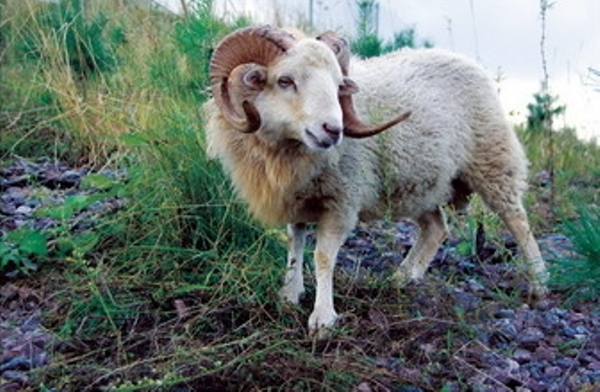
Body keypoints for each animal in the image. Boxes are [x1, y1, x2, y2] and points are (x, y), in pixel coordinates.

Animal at [203, 26, 548, 336]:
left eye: (338, 86)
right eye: (285, 80)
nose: (333, 130)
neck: (288, 152)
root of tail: (463, 59)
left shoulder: (342, 199)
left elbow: (323, 256)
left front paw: (322, 319)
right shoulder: (297, 196)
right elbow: (294, 243)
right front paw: (290, 294)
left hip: (493, 161)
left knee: (518, 222)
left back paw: (539, 285)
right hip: (421, 182)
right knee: (436, 228)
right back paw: (401, 278)